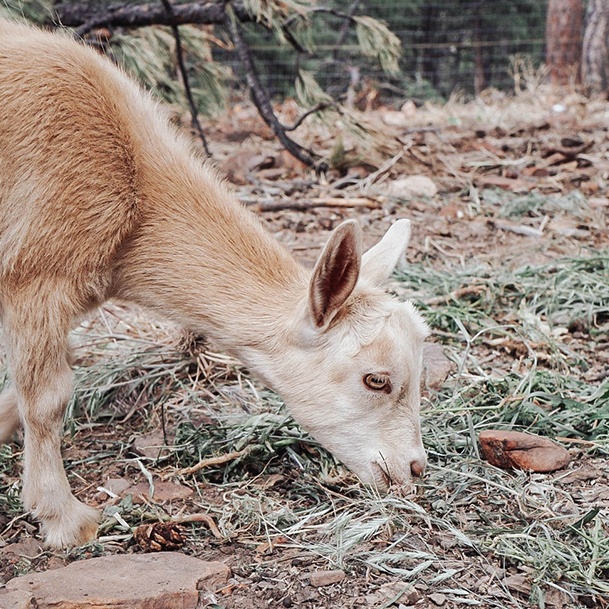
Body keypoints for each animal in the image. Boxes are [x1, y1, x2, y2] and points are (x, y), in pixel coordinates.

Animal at [0, 21, 428, 548]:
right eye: (376, 379)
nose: (414, 468)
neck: (137, 196)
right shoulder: (34, 274)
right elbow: (47, 399)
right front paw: (63, 517)